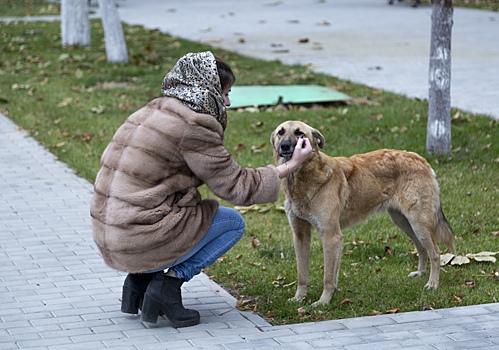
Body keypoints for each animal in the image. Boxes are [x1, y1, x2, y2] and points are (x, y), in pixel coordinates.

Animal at [272, 121, 456, 306]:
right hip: (404, 222)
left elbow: (328, 277)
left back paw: (433, 283)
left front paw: (324, 302)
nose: (285, 146)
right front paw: (299, 297)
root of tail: (420, 159)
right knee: (422, 248)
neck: (302, 179)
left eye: (299, 133)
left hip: (418, 223)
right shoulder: (301, 235)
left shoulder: (331, 236)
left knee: (435, 253)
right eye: (281, 132)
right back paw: (421, 274)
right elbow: (303, 274)